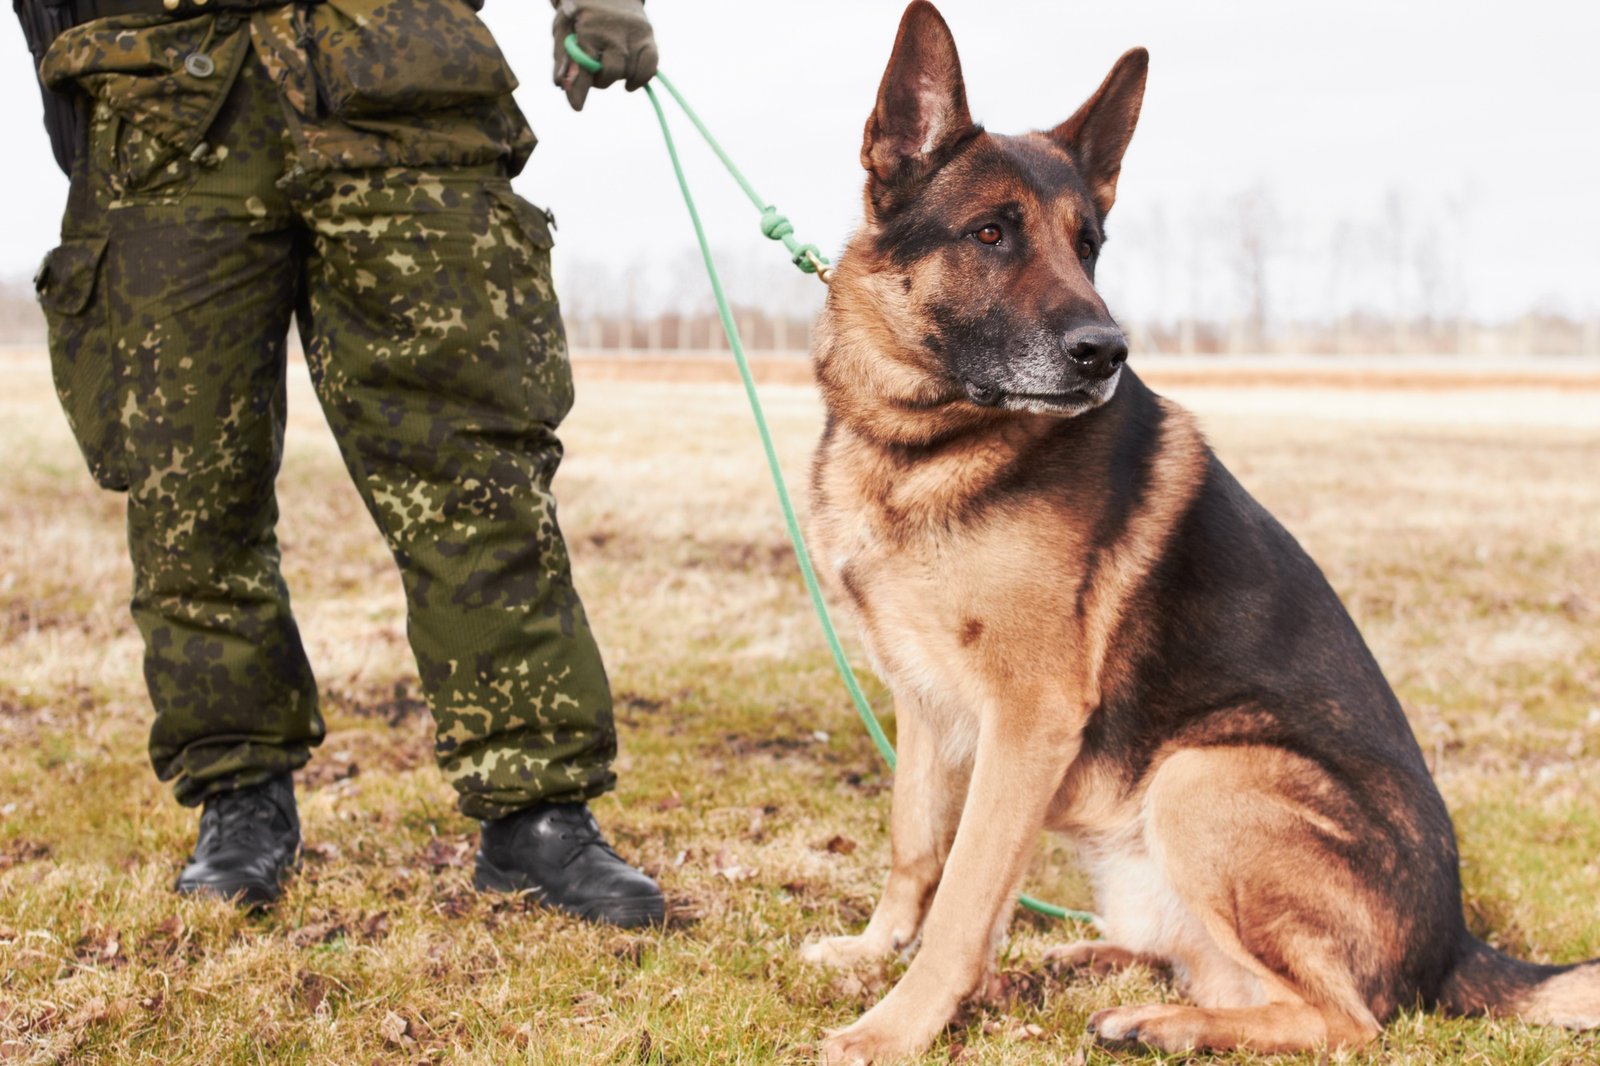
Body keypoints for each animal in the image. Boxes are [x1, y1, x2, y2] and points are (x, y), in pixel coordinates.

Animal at [800, 4, 1600, 1056]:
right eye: (991, 233)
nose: (1105, 350)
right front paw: (872, 951)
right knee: (1195, 959)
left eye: (1089, 246)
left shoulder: (1028, 717)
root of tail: (1456, 950)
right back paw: (1077, 967)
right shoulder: (928, 703)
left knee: (1346, 1021)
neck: (924, 443)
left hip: (1202, 774)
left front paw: (896, 1026)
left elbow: (966, 896)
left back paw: (1159, 1022)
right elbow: (918, 848)